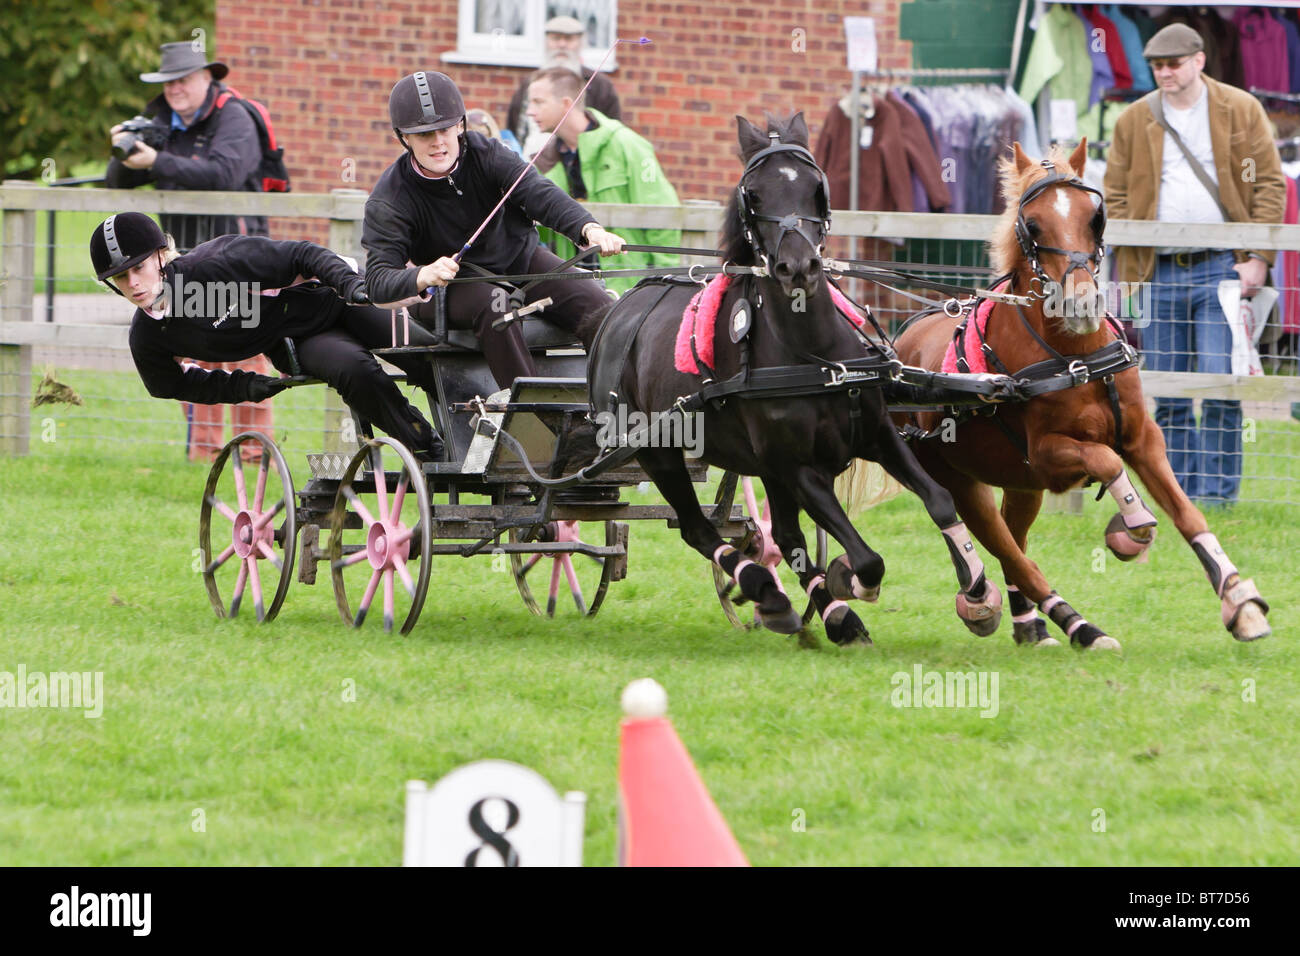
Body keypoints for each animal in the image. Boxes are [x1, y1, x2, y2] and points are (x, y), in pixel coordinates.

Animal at [590, 115, 1003, 647]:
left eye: (815, 187)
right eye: (754, 194)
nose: (798, 266)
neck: (814, 356)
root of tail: (618, 309)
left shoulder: (876, 435)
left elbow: (939, 500)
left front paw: (977, 589)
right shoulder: (797, 466)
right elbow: (868, 559)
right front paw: (849, 579)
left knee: (783, 538)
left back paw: (823, 613)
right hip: (658, 452)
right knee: (700, 530)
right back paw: (772, 593)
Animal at [894, 141, 1268, 650]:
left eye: (1096, 217)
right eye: (1032, 225)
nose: (1081, 304)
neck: (1077, 359)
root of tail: (898, 346)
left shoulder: (1143, 439)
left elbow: (1188, 514)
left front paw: (1239, 601)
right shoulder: (1049, 458)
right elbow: (1106, 462)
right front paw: (1132, 523)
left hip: (1020, 483)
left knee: (1016, 540)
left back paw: (1029, 623)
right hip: (959, 480)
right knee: (1011, 553)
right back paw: (1068, 623)